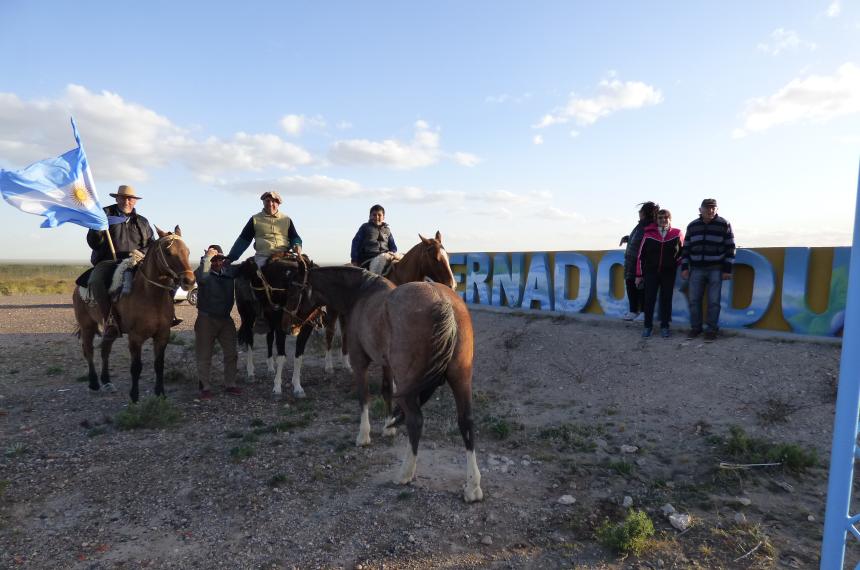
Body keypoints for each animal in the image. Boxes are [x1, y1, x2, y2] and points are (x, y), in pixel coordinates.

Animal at [71, 224, 196, 402]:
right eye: (168, 252)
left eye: (187, 251)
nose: (189, 281)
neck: (150, 296)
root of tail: (78, 287)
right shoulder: (135, 337)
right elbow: (136, 367)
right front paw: (134, 397)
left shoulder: (162, 335)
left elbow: (159, 365)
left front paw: (160, 393)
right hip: (87, 326)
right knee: (89, 350)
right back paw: (94, 383)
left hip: (110, 331)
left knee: (105, 350)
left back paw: (107, 381)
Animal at [268, 260, 480, 500]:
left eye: (294, 293)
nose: (286, 325)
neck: (361, 293)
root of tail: (443, 301)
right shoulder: (386, 365)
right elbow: (386, 391)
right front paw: (388, 427)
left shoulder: (360, 362)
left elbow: (364, 397)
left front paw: (364, 435)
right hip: (460, 378)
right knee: (466, 422)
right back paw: (473, 485)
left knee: (416, 420)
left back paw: (405, 473)